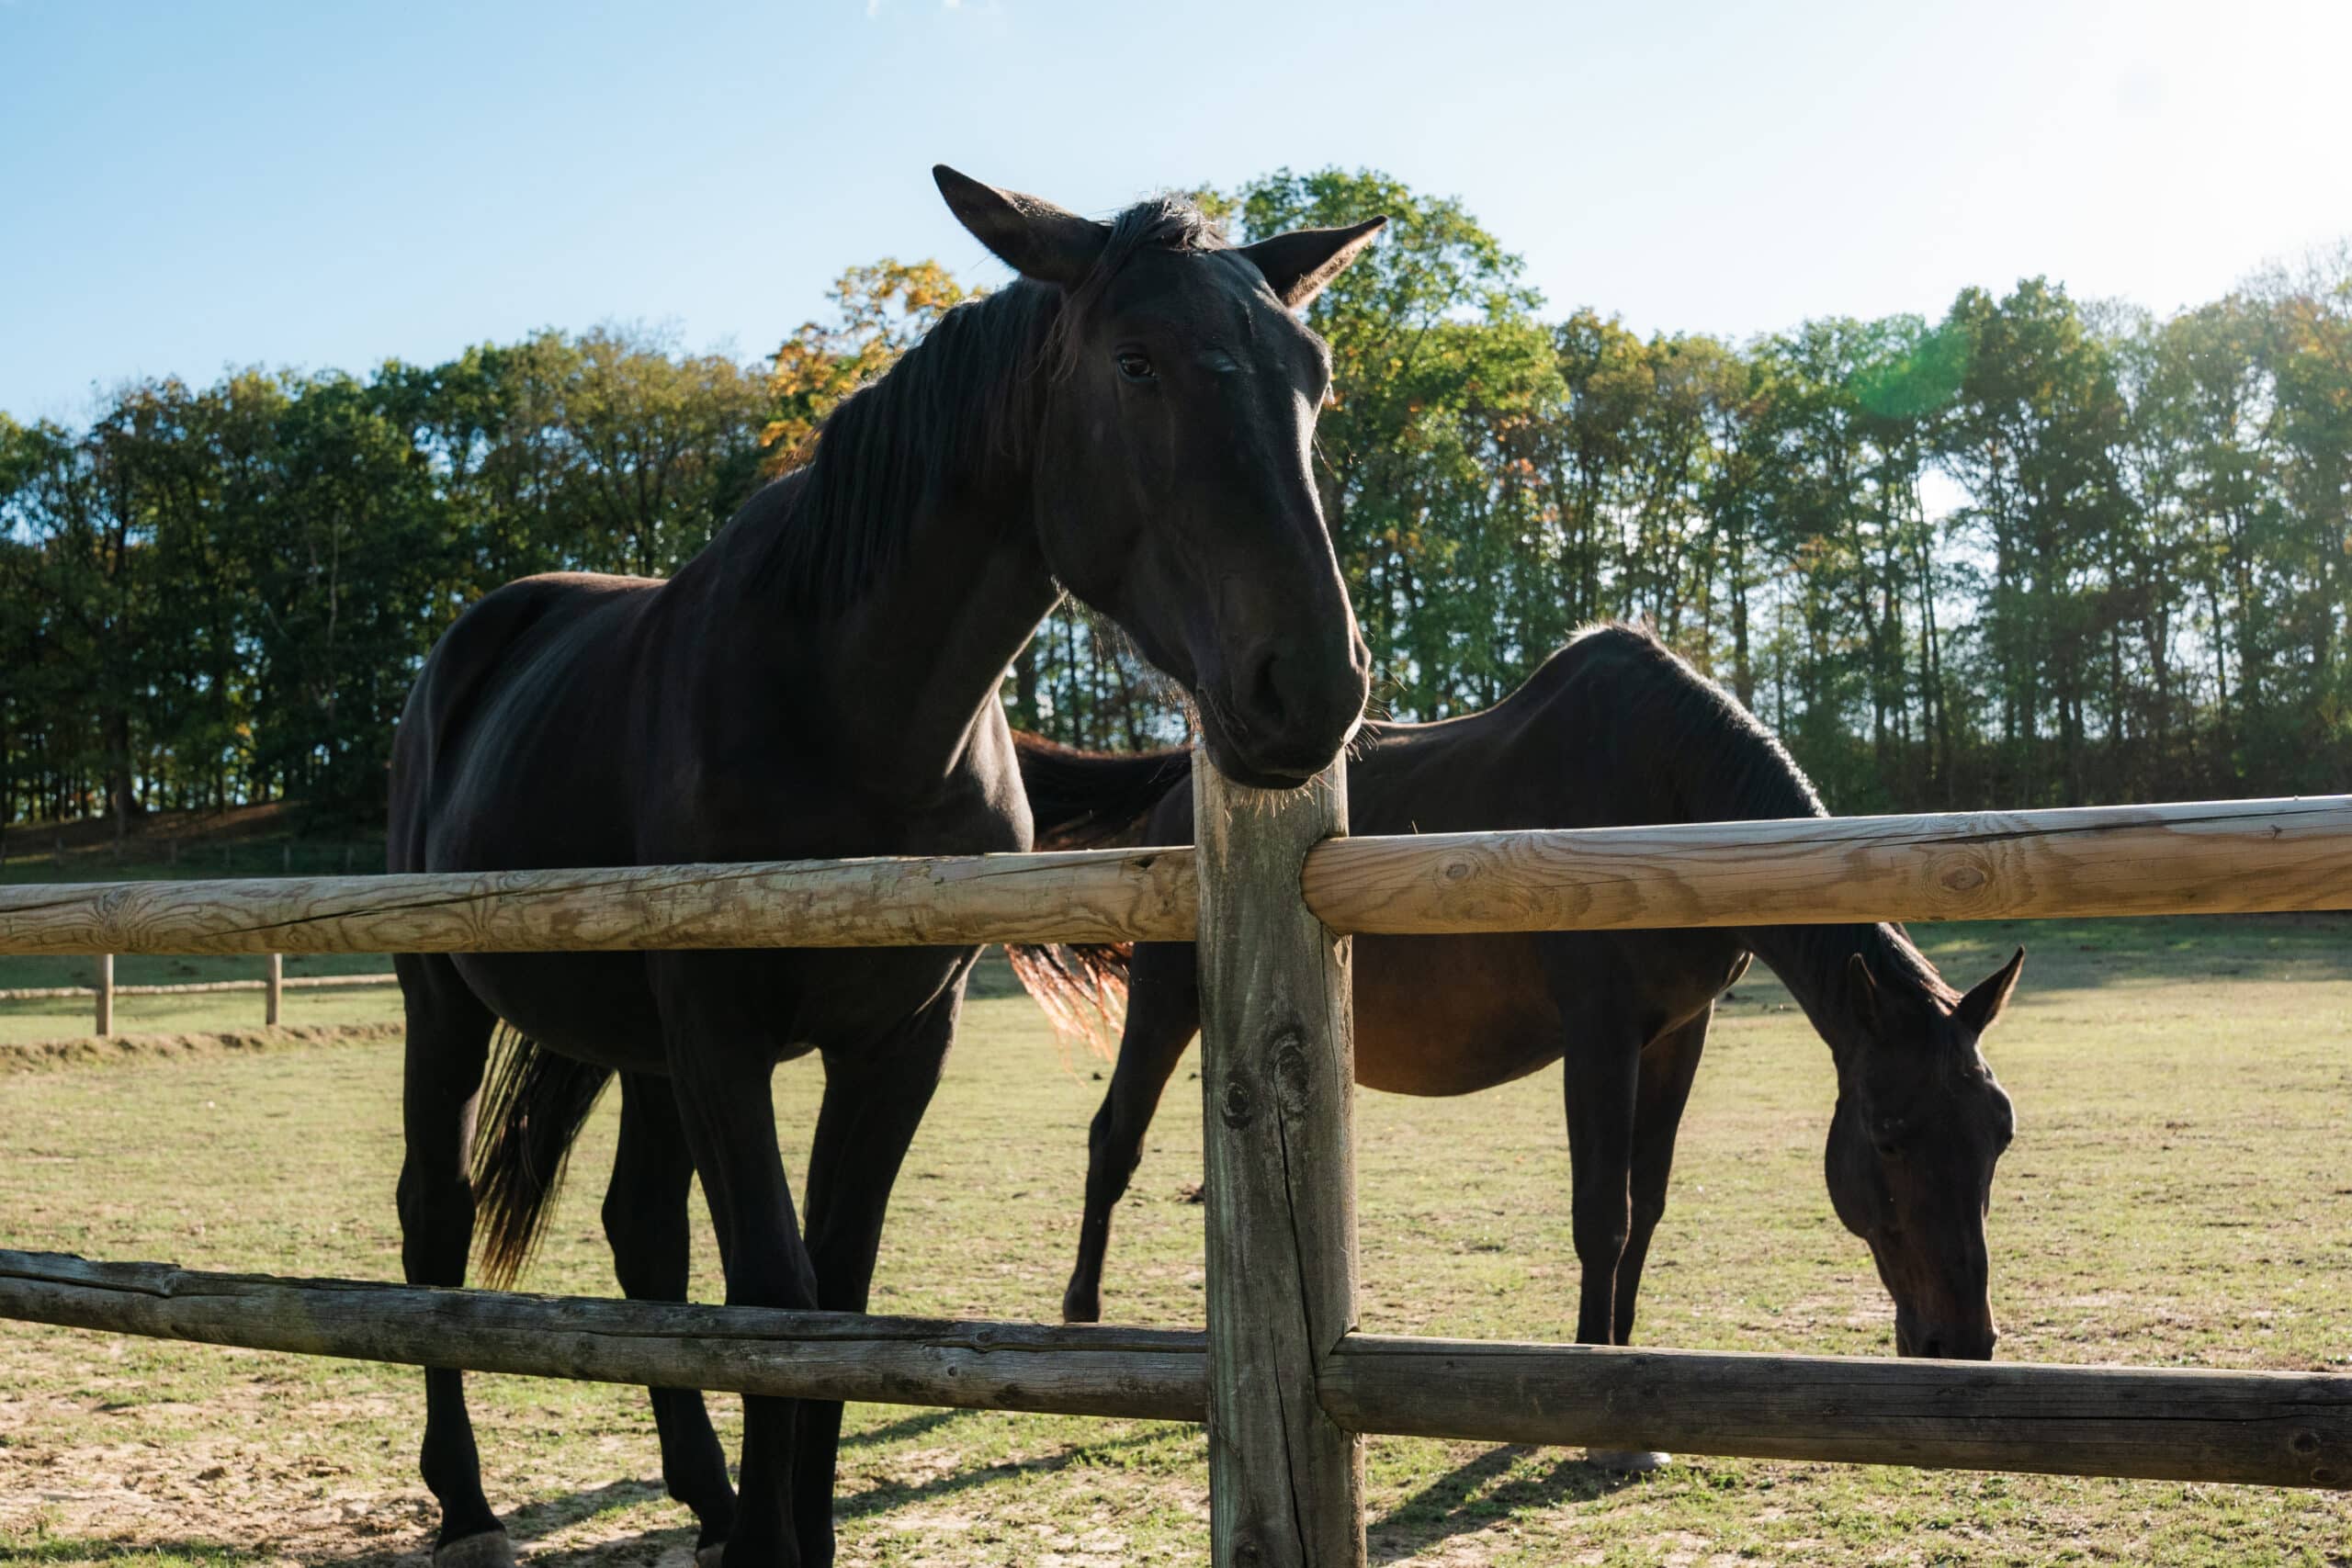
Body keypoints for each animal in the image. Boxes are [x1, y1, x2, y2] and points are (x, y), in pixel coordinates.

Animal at [388, 166, 1384, 1568]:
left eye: (1314, 377)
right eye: (1135, 363)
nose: (1312, 685)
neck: (846, 707)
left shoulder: (897, 1038)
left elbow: (837, 1298)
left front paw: (780, 1526)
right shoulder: (719, 1030)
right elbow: (777, 1294)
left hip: (640, 1049)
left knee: (641, 1232)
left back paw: (705, 1494)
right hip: (448, 1000)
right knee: (436, 1210)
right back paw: (468, 1498)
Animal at [1011, 624, 2025, 1402]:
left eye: (1998, 1135)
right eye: (1889, 1137)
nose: (1964, 1343)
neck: (1668, 801)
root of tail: (1174, 786)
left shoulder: (1676, 1034)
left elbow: (1647, 1202)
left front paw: (1629, 1351)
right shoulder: (1600, 1035)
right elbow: (1601, 1213)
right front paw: (1594, 1376)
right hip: (1162, 1002)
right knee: (1112, 1141)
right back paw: (1082, 1319)